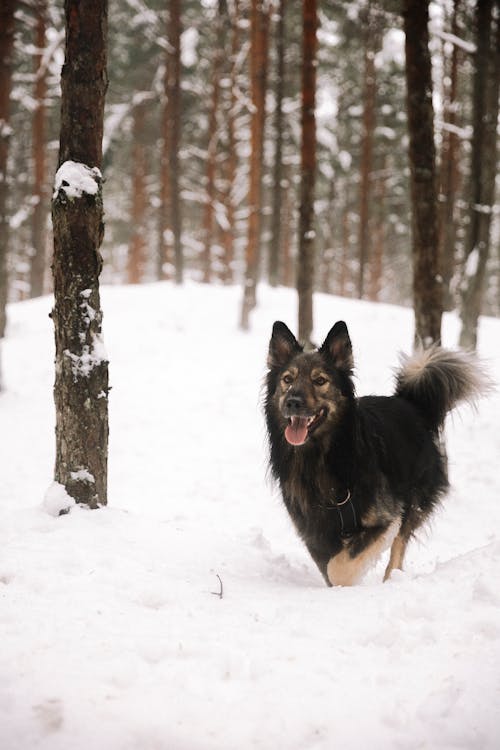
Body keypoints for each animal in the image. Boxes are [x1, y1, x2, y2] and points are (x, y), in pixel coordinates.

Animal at [266, 322, 488, 588]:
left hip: (413, 500)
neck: (321, 456)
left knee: (399, 548)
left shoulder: (385, 518)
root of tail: (412, 405)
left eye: (320, 380)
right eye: (287, 379)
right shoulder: (314, 532)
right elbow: (328, 566)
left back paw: (392, 581)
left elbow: (339, 567)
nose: (292, 402)